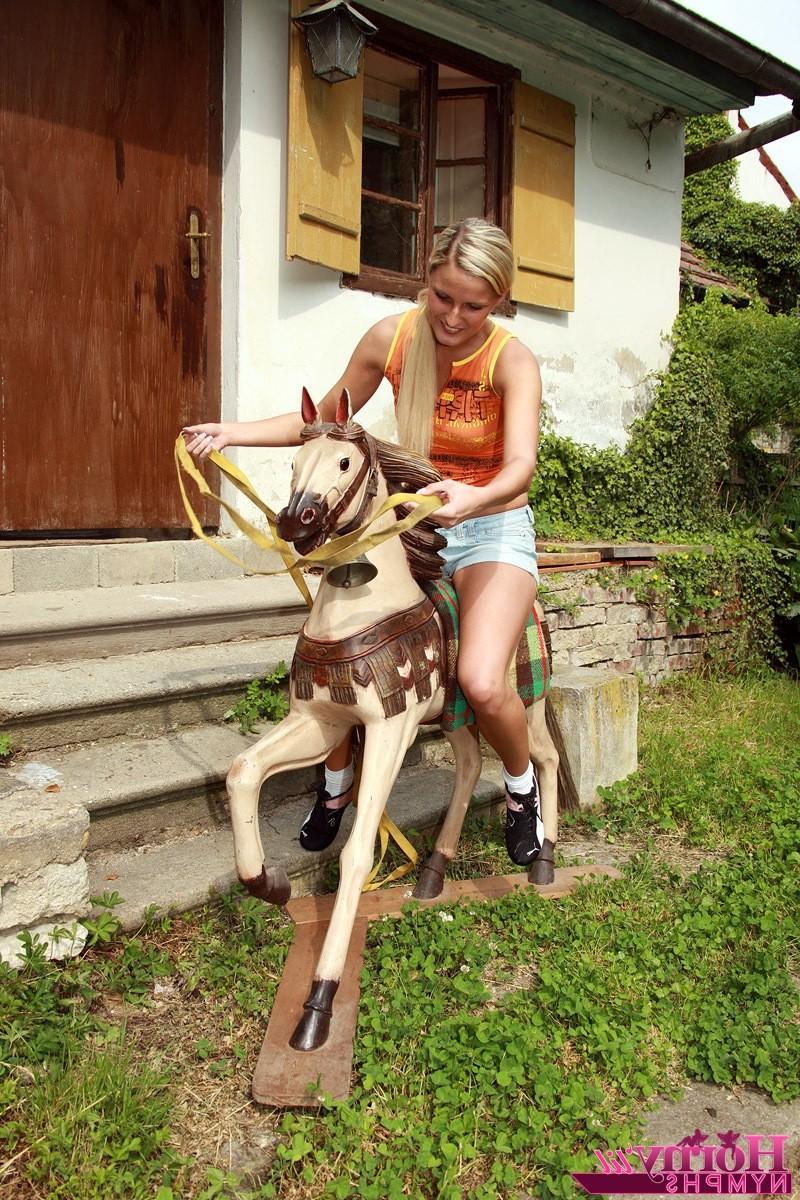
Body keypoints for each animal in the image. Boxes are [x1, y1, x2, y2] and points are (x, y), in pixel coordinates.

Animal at [225, 388, 576, 1052]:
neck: (362, 606)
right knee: (469, 764)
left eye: (344, 463)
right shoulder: (323, 719)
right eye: (292, 462)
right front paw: (271, 885)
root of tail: (539, 607)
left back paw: (539, 855)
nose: (295, 522)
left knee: (539, 757)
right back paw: (433, 872)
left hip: (521, 697)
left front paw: (318, 1005)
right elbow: (243, 772)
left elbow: (358, 852)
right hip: (456, 713)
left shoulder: (392, 726)